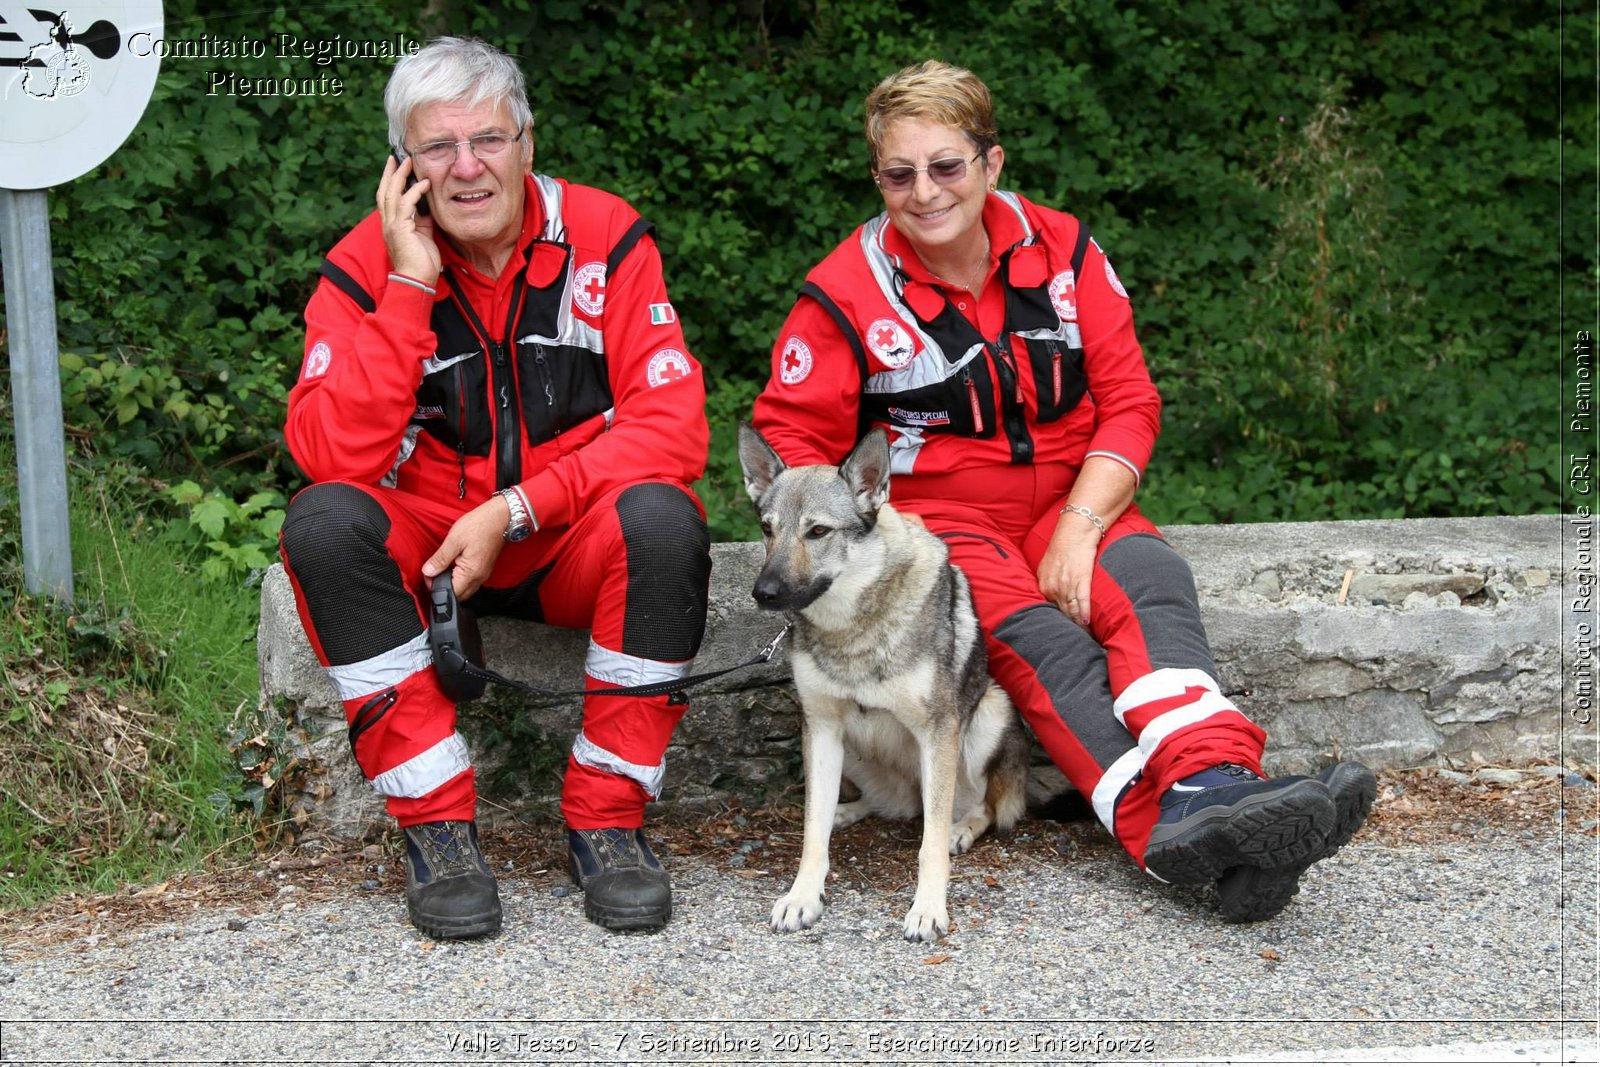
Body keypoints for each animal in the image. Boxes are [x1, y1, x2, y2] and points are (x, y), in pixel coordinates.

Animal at [736, 425, 1024, 940]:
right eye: (768, 530)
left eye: (818, 531)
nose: (764, 593)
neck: (851, 627)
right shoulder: (820, 728)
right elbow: (811, 833)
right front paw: (802, 897)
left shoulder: (938, 731)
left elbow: (930, 846)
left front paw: (928, 909)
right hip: (849, 751)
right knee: (886, 805)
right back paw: (845, 813)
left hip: (989, 715)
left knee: (978, 807)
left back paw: (960, 828)